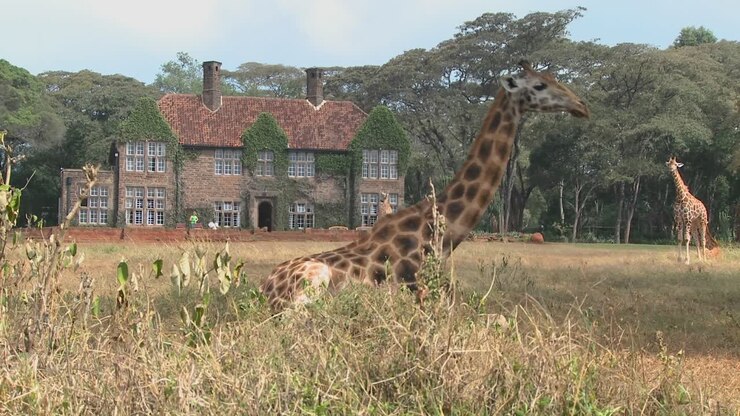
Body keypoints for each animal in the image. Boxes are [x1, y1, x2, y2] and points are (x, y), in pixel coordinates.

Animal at [260, 61, 590, 309]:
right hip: (308, 291)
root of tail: (265, 288)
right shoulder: (422, 293)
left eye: (553, 77)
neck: (438, 231)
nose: (581, 105)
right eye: (539, 86)